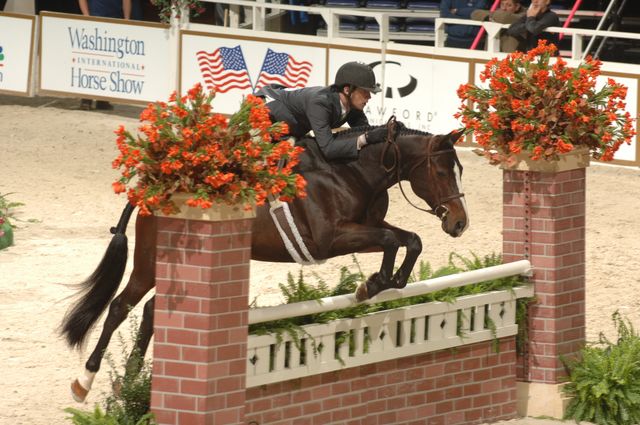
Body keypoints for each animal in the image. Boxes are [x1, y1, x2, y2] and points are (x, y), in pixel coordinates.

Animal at [61, 123, 470, 400]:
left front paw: (383, 283)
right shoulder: (331, 239)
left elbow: (409, 240)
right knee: (120, 307)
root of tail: (154, 185)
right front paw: (372, 284)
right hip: (150, 262)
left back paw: (131, 378)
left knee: (148, 311)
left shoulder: (368, 226)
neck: (353, 170)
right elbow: (392, 240)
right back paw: (85, 382)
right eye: (440, 171)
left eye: (459, 170)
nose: (459, 223)